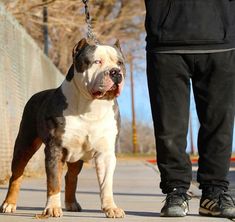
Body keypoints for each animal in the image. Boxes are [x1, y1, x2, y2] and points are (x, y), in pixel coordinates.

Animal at [0, 38, 126, 219]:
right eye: (97, 61)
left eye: (120, 63)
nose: (116, 72)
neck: (91, 106)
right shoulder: (55, 149)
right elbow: (53, 182)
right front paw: (52, 208)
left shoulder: (106, 153)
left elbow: (106, 183)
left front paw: (111, 208)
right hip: (24, 146)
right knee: (17, 175)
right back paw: (9, 203)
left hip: (76, 157)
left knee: (70, 177)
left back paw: (71, 203)